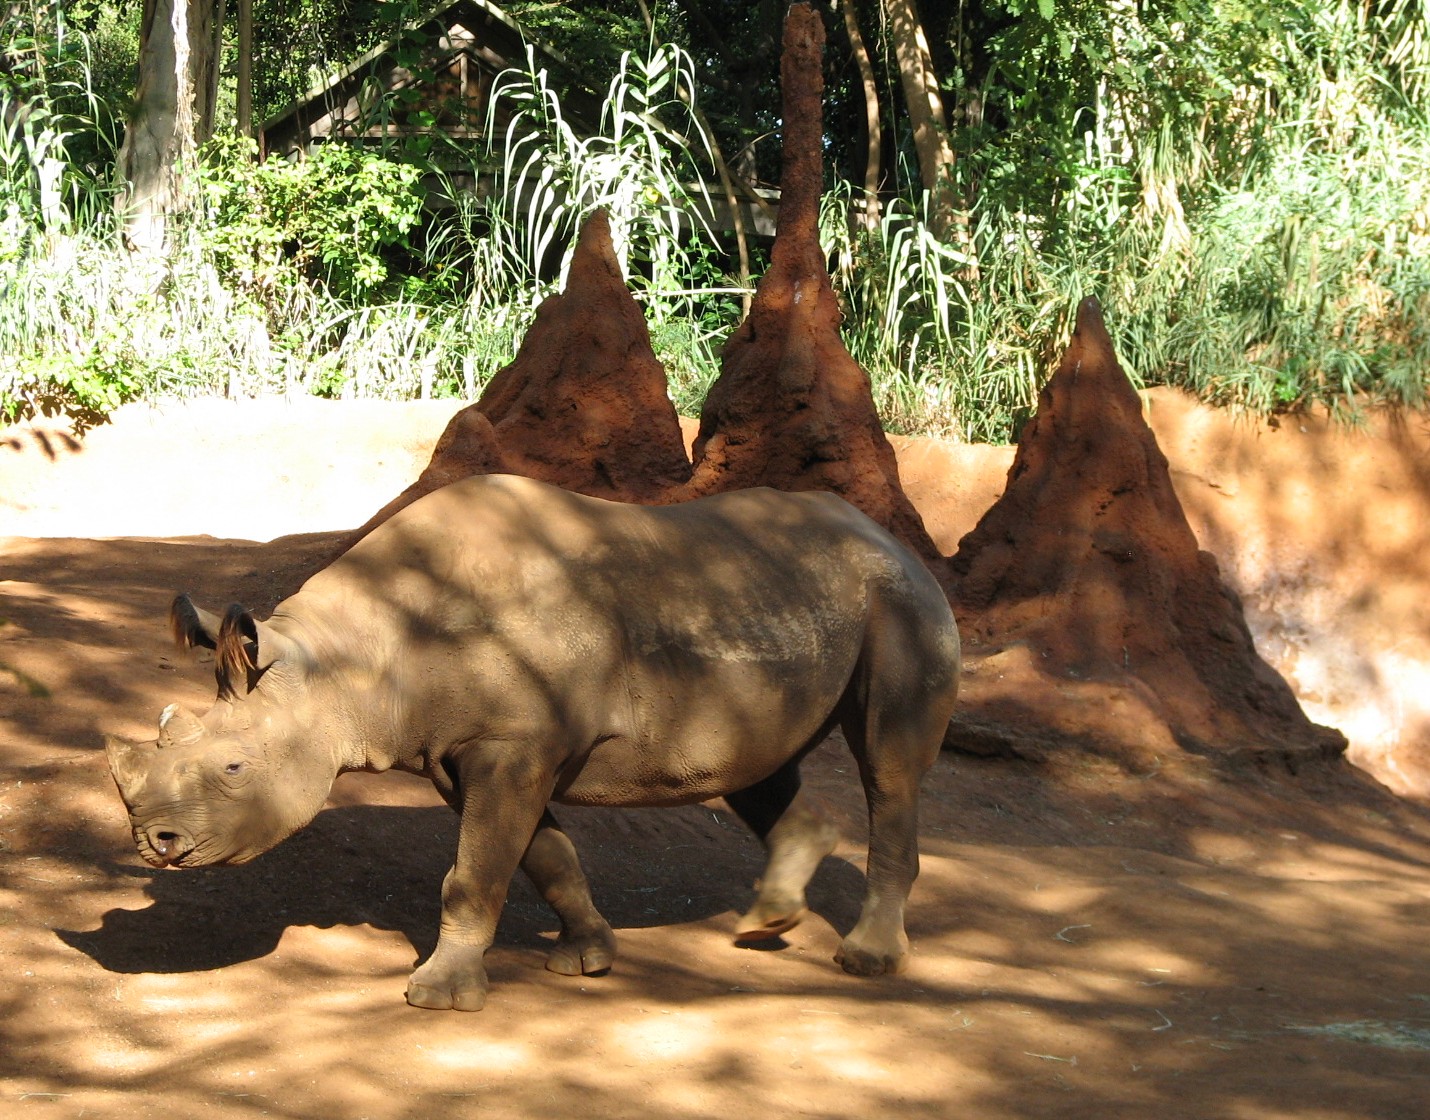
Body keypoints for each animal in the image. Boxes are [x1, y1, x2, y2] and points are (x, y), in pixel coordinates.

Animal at [105, 474, 961, 1010]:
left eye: (234, 766)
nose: (155, 842)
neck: (343, 665)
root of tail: (891, 535)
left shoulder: (511, 746)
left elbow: (476, 873)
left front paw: (438, 997)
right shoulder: (472, 751)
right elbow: (543, 857)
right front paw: (589, 959)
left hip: (901, 601)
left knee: (888, 769)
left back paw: (866, 959)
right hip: (782, 607)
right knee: (755, 764)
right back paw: (766, 925)